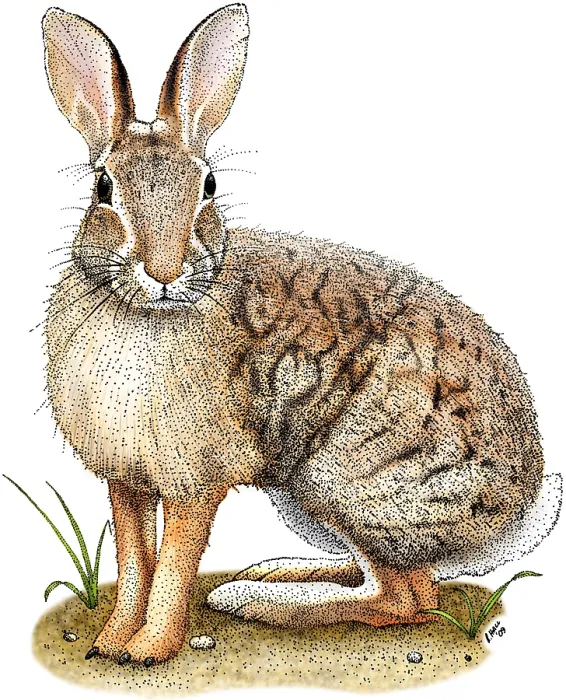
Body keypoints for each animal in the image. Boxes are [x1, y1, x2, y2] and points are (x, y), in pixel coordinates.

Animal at [42, 4, 561, 666]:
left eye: (209, 187)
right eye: (103, 188)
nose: (164, 270)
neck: (147, 311)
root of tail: (518, 508)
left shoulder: (195, 475)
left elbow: (175, 566)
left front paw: (149, 648)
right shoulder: (127, 475)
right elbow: (136, 559)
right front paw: (112, 643)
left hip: (350, 484)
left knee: (405, 599)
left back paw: (258, 601)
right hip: (311, 500)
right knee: (388, 581)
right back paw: (269, 572)